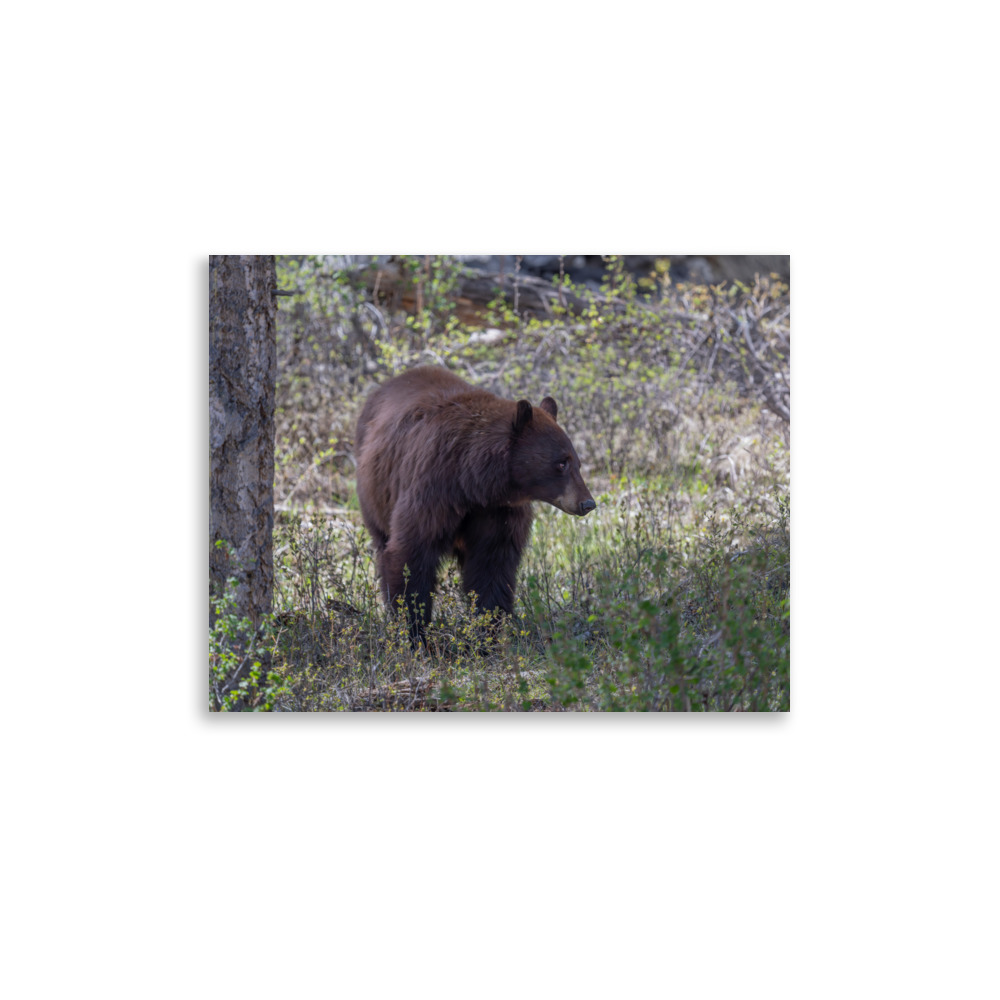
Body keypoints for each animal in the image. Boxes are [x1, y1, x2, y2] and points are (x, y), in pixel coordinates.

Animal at [354, 365, 596, 643]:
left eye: (577, 462)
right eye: (561, 463)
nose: (587, 503)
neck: (473, 482)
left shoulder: (499, 511)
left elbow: (491, 566)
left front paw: (486, 635)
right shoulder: (432, 490)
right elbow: (411, 554)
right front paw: (416, 633)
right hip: (374, 495)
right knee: (383, 544)